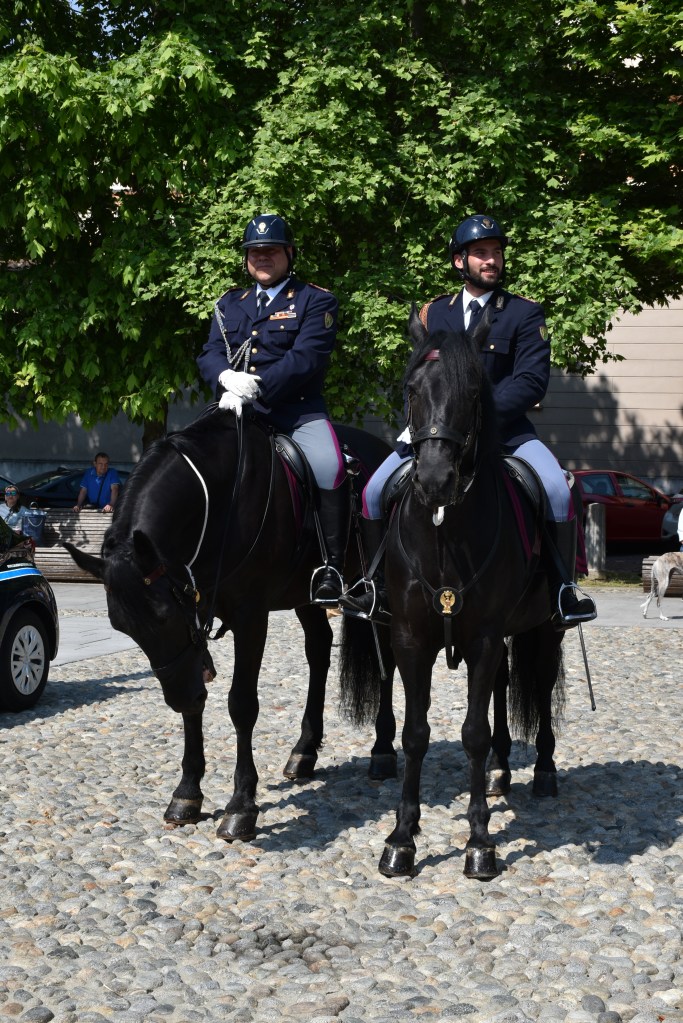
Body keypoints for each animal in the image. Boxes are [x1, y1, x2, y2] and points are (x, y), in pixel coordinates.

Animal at [66, 411, 398, 843]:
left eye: (163, 614)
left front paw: (241, 806)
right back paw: (304, 750)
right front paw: (187, 792)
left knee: (386, 656)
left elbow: (242, 704)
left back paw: (383, 749)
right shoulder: (195, 621)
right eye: (121, 628)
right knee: (319, 650)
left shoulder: (250, 616)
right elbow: (196, 705)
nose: (180, 696)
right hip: (305, 596)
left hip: (383, 588)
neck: (219, 503)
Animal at [340, 307, 566, 881]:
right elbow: (417, 733)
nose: (436, 479)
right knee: (504, 689)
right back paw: (502, 770)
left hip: (546, 629)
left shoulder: (483, 638)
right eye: (412, 389)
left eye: (472, 390)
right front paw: (401, 839)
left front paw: (480, 844)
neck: (445, 528)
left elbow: (473, 734)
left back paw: (545, 771)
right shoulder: (409, 636)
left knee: (539, 686)